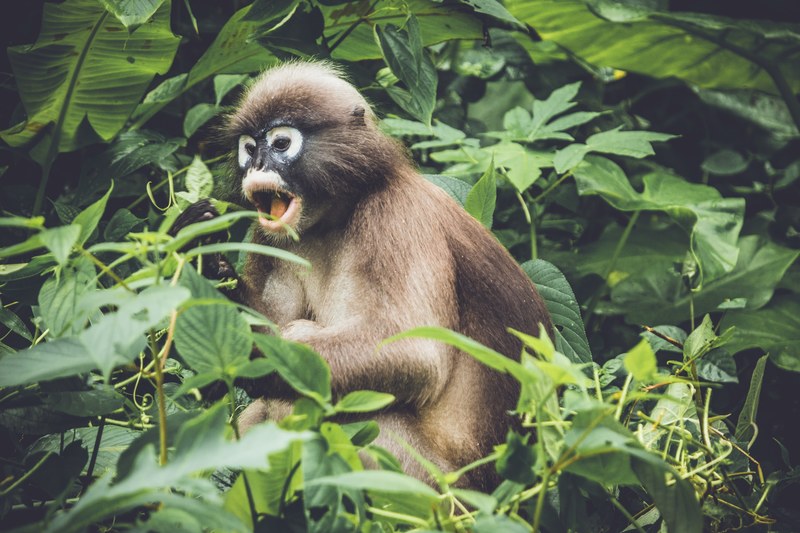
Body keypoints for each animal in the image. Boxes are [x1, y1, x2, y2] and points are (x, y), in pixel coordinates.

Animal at [175, 62, 553, 490]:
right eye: (249, 148)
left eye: (281, 143)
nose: (256, 166)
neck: (339, 214)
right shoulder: (274, 235)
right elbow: (274, 318)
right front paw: (201, 257)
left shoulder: (396, 213)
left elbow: (415, 356)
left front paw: (250, 356)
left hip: (431, 482)